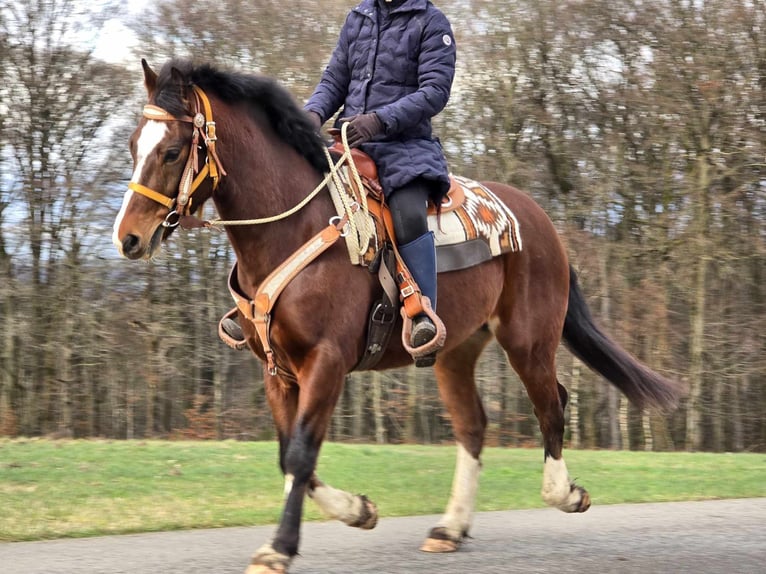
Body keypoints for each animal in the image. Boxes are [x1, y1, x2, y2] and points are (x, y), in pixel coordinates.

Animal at [112, 59, 684, 574]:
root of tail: (541, 222)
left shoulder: (326, 362)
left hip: (528, 341)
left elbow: (300, 454)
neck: (294, 228)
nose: (129, 238)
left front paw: (279, 548)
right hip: (455, 351)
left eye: (171, 151)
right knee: (473, 425)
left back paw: (564, 493)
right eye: (134, 145)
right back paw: (450, 528)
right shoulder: (278, 371)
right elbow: (290, 456)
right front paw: (358, 511)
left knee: (552, 405)